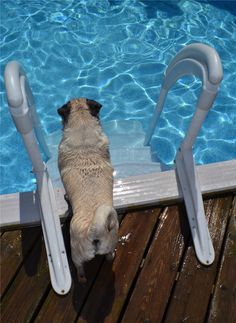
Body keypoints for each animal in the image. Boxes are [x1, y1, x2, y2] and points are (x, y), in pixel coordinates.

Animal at [58, 98, 119, 284]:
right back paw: (110, 257)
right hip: (110, 240)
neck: (82, 123)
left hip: (76, 252)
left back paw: (81, 278)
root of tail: (95, 229)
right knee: (109, 255)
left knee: (79, 266)